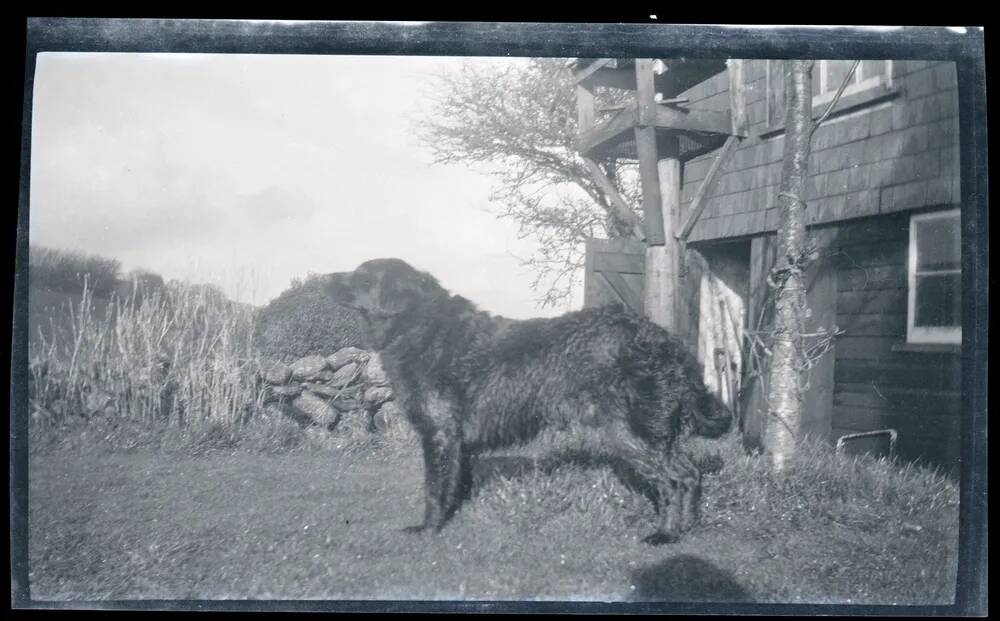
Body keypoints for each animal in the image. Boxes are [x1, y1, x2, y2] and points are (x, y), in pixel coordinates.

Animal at [332, 256, 732, 544]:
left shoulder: (440, 433)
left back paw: (666, 534)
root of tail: (663, 339)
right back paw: (687, 526)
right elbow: (455, 483)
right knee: (689, 473)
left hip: (630, 433)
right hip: (654, 432)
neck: (419, 325)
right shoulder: (457, 442)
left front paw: (428, 529)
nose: (327, 278)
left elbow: (433, 489)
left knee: (674, 480)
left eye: (362, 275)